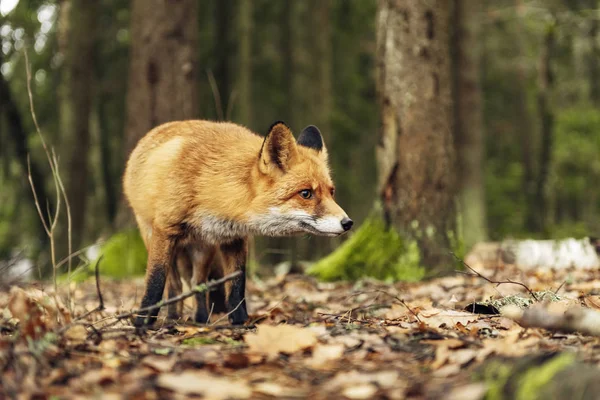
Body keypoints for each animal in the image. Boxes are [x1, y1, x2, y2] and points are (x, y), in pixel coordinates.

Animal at [124, 120, 354, 326]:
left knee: (197, 283)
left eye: (331, 192)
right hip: (154, 236)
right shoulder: (165, 230)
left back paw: (200, 319)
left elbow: (237, 284)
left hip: (203, 248)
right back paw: (172, 318)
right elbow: (155, 281)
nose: (348, 223)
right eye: (306, 193)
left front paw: (240, 322)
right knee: (174, 283)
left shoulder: (233, 238)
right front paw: (142, 322)